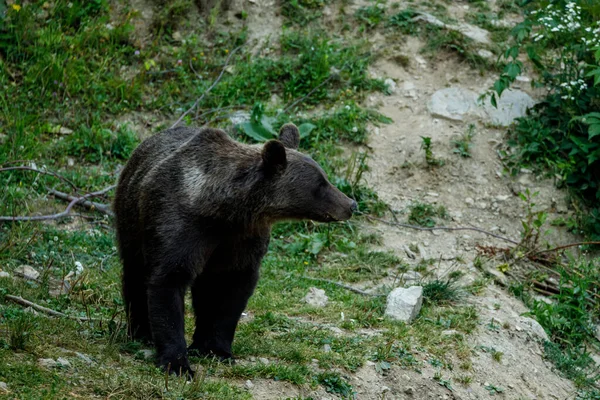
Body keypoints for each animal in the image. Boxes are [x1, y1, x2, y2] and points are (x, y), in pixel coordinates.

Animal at [113, 124, 356, 376]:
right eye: (320, 184)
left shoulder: (242, 240)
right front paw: (177, 363)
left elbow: (231, 291)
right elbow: (168, 281)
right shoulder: (180, 226)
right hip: (131, 220)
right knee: (135, 274)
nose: (351, 204)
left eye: (324, 178)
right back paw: (141, 331)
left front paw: (217, 350)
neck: (226, 213)